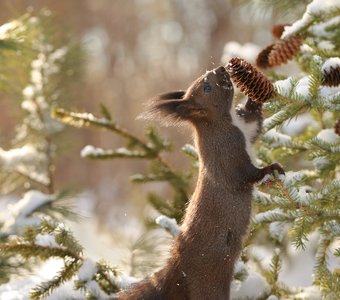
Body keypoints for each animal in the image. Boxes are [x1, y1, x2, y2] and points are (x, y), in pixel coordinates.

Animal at [114, 66, 284, 300]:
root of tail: (176, 273)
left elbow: (255, 123)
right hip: (209, 287)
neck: (224, 120)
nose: (221, 68)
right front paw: (271, 169)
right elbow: (247, 174)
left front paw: (254, 94)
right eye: (207, 87)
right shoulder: (227, 157)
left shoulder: (246, 128)